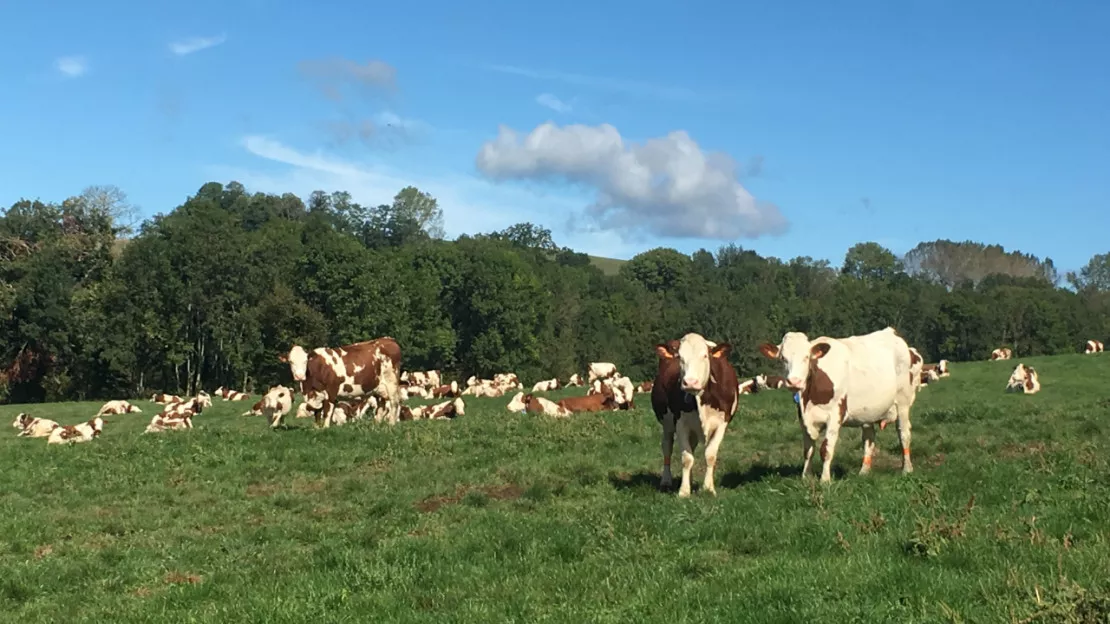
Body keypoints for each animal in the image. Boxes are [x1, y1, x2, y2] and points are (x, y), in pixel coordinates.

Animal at [648, 330, 737, 495]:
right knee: (667, 447)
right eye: (680, 358)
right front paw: (684, 491)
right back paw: (666, 481)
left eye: (705, 356)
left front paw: (708, 488)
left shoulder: (722, 423)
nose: (690, 382)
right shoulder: (680, 423)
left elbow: (710, 455)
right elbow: (686, 458)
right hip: (667, 423)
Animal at [759, 326, 914, 481]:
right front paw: (806, 476)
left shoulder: (835, 414)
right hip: (868, 412)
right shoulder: (803, 418)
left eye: (807, 357)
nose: (794, 381)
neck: (809, 398)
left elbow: (826, 449)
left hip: (903, 403)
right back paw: (864, 471)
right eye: (782, 358)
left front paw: (825, 479)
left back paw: (907, 469)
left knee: (903, 434)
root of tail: (890, 331)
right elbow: (808, 450)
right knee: (868, 439)